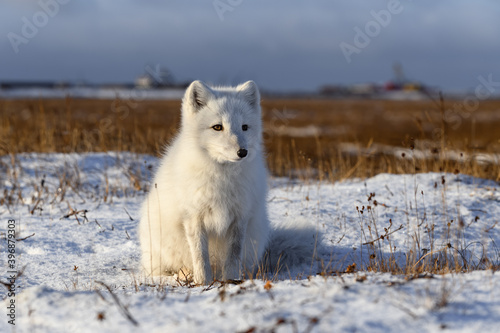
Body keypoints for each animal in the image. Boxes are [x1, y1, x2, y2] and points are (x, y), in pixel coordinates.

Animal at [139, 80, 270, 282]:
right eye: (217, 127)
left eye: (244, 127)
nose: (242, 152)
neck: (222, 177)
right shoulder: (193, 217)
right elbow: (200, 255)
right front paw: (203, 282)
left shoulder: (240, 217)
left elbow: (233, 255)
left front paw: (231, 280)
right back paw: (184, 273)